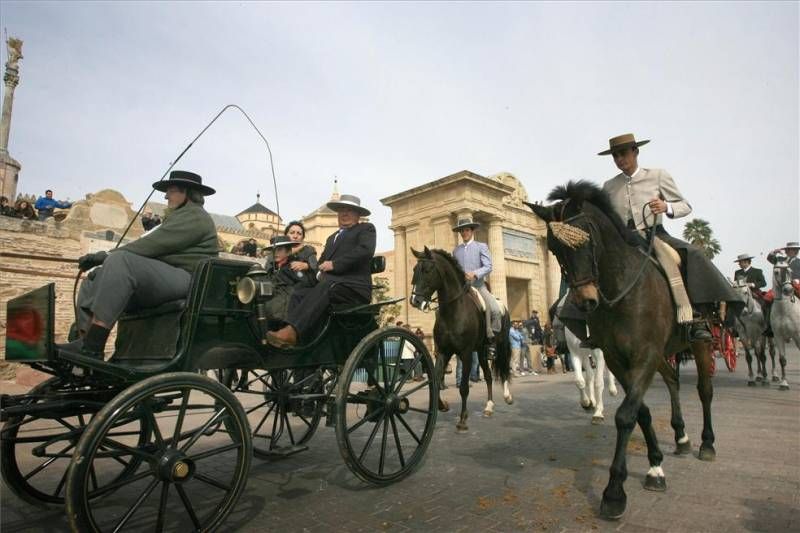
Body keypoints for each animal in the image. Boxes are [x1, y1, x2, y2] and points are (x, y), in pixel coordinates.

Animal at [406, 248, 512, 432]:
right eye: (414, 270)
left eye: (427, 270)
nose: (415, 301)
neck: (453, 311)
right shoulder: (443, 352)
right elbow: (436, 380)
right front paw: (442, 405)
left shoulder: (466, 353)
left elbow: (463, 387)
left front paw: (463, 419)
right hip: (482, 352)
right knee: (489, 376)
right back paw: (488, 407)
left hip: (500, 346)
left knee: (504, 368)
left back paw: (507, 396)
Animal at [528, 182, 716, 520]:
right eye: (555, 249)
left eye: (587, 237)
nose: (585, 301)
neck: (623, 290)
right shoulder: (618, 358)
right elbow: (639, 411)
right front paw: (655, 465)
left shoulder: (644, 355)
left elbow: (626, 414)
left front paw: (615, 491)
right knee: (673, 381)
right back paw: (681, 437)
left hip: (699, 341)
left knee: (704, 389)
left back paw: (707, 444)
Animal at [768, 260, 800, 388]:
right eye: (776, 272)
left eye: (789, 271)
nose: (788, 290)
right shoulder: (778, 336)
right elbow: (782, 360)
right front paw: (784, 383)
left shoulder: (798, 335)